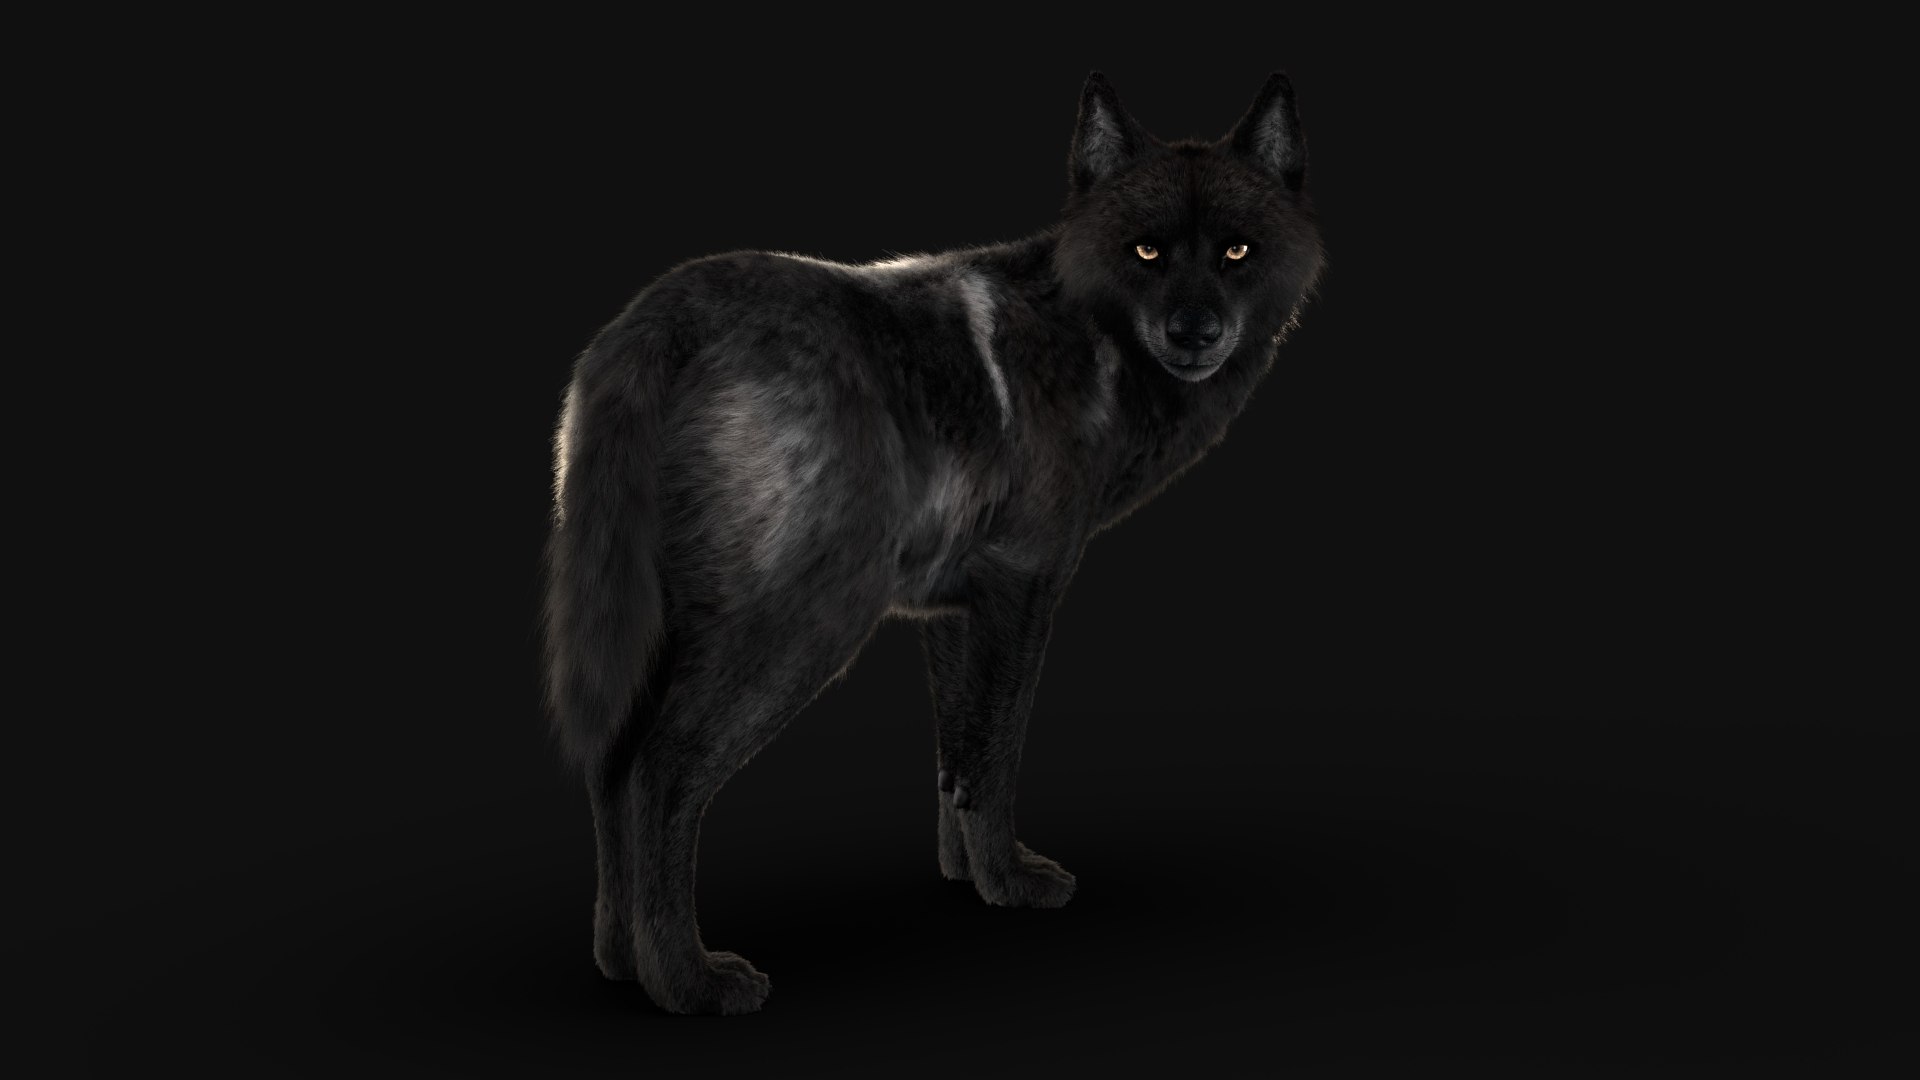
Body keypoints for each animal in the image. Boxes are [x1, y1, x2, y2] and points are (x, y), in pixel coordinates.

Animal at [544, 71, 1325, 1014]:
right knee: (657, 776)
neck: (1086, 333)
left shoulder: (955, 612)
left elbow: (958, 766)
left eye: (1237, 252)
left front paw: (967, 880)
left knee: (609, 768)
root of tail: (661, 319)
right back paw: (689, 983)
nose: (1195, 331)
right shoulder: (1023, 589)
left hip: (657, 635)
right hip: (801, 630)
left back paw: (621, 963)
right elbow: (996, 754)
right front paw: (1014, 886)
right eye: (1146, 253)